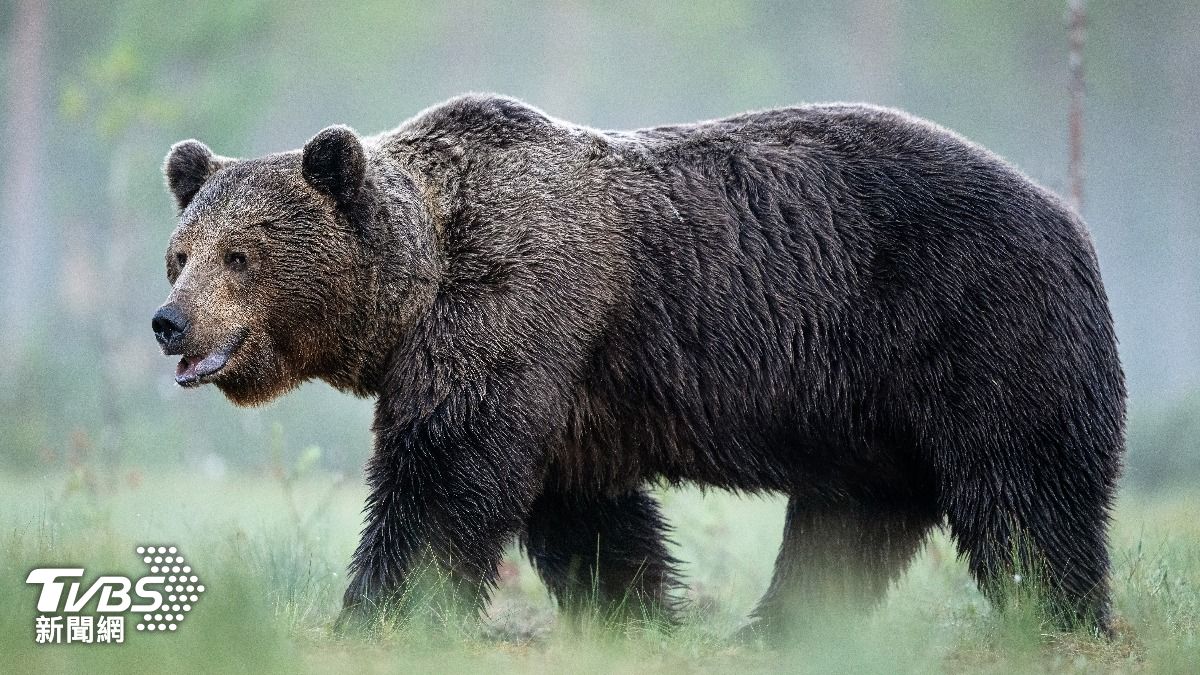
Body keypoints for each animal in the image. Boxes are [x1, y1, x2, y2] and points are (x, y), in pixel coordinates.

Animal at [154, 94, 1125, 638]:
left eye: (241, 255)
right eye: (181, 254)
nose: (169, 322)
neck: (419, 283)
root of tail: (1070, 216)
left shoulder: (517, 305)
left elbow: (441, 475)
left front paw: (376, 609)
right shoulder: (565, 383)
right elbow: (584, 511)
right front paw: (637, 609)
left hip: (973, 324)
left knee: (1024, 489)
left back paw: (1059, 614)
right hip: (870, 410)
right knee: (852, 518)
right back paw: (774, 628)